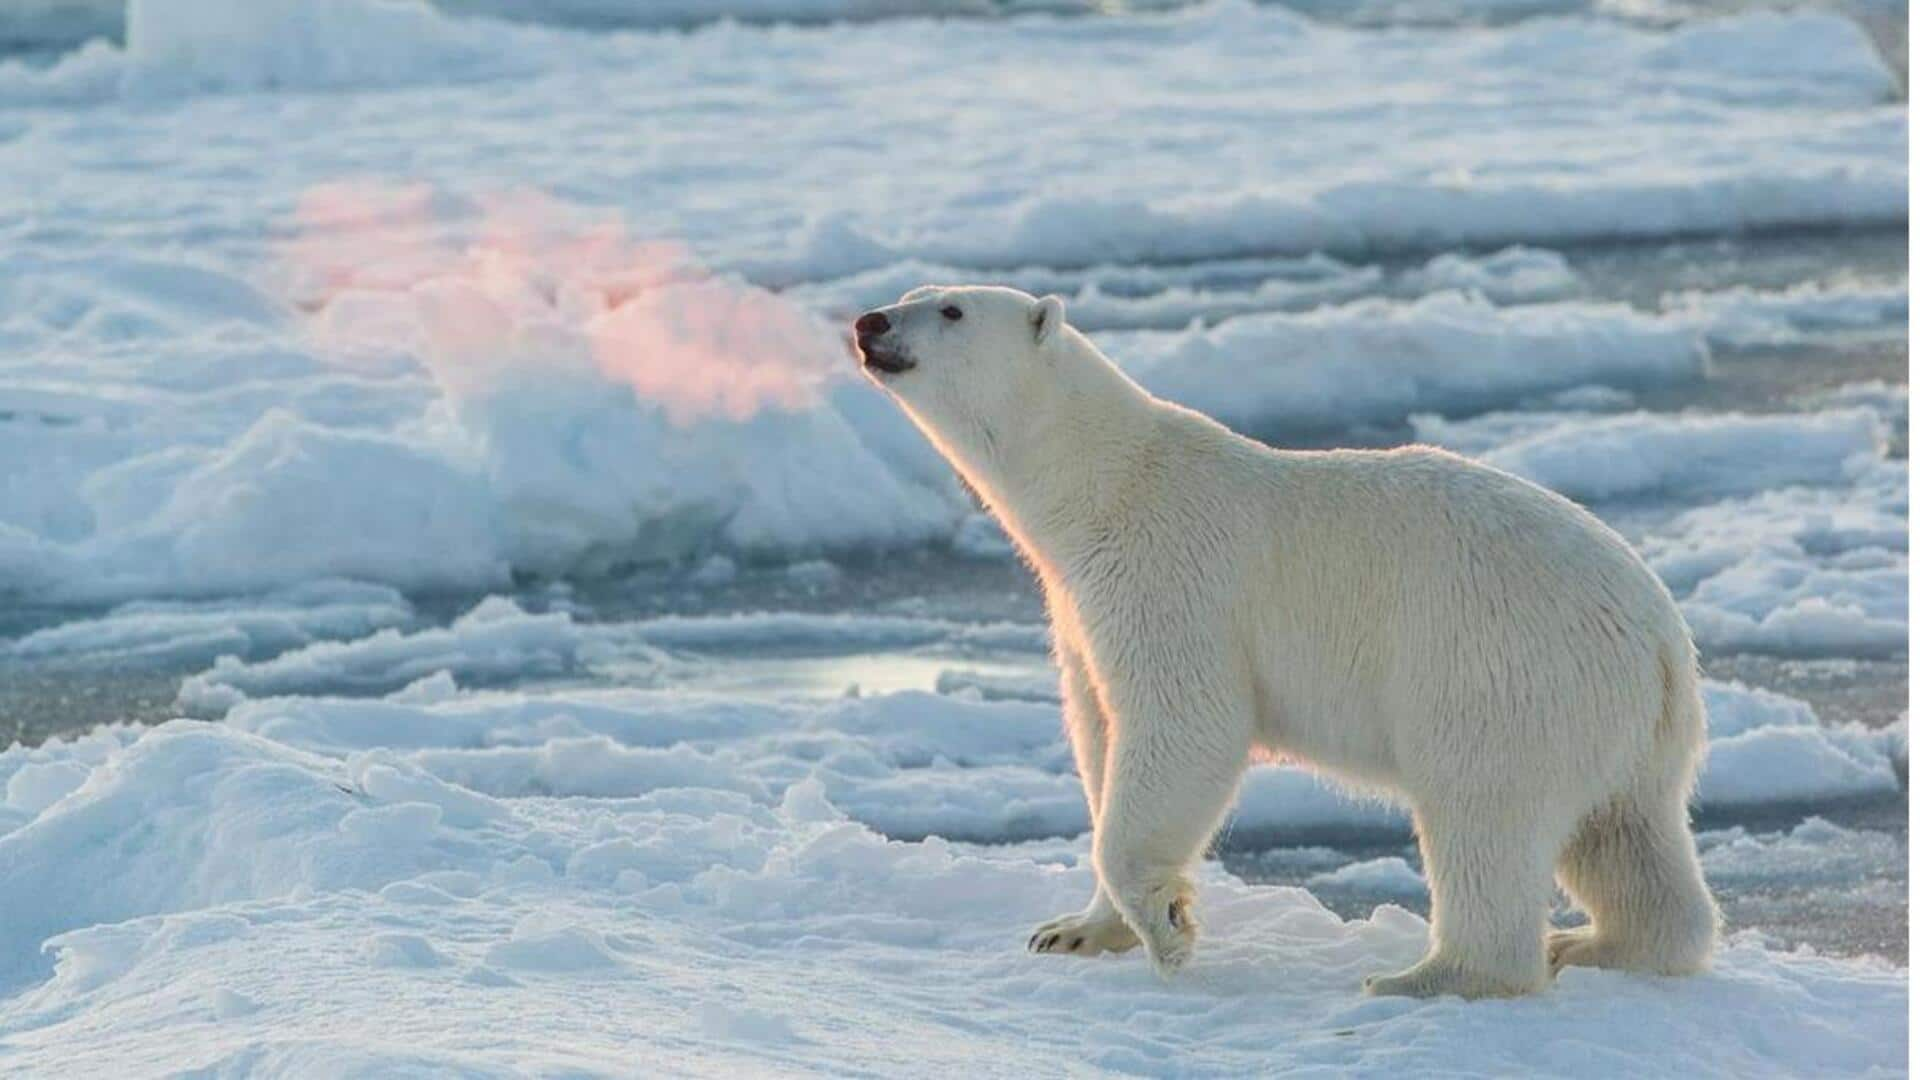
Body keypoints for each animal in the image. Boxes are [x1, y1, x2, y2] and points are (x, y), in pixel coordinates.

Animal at [860, 284, 1728, 991]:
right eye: (911, 292)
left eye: (949, 310)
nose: (869, 322)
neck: (1101, 488)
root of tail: (1660, 640)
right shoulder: (1079, 610)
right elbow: (1100, 734)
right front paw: (1075, 930)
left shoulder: (1169, 578)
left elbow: (1185, 727)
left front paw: (1168, 929)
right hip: (1616, 724)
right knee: (1626, 836)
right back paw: (1598, 944)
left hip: (1502, 671)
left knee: (1485, 814)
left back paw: (1434, 975)